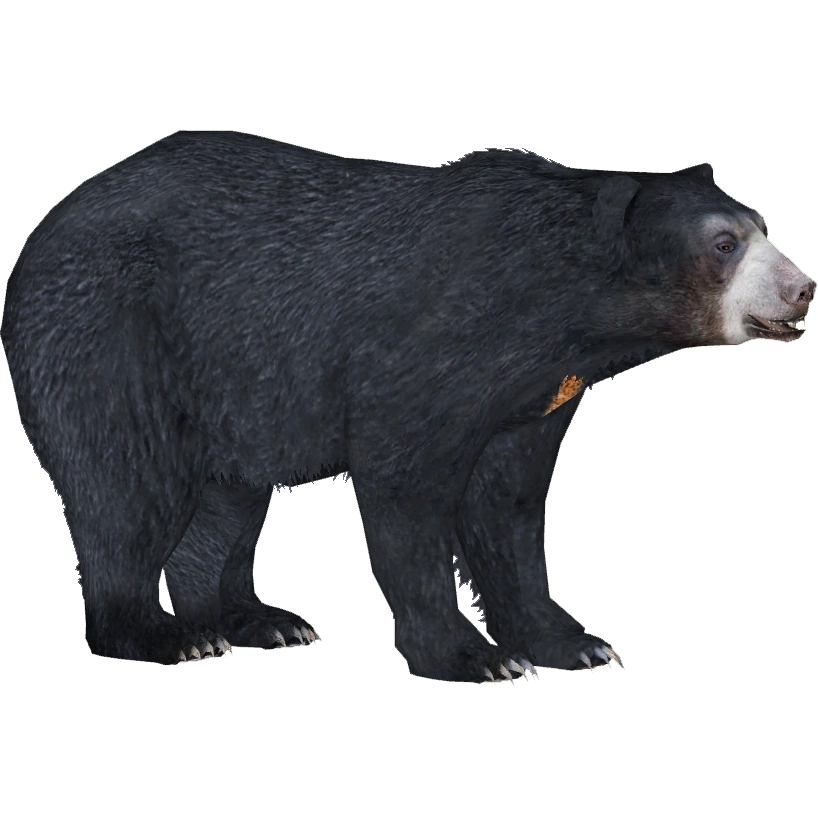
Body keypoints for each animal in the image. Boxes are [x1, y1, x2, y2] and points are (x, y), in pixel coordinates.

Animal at [1, 130, 813, 683]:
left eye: (762, 223)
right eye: (724, 243)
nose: (801, 287)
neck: (553, 301)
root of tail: (40, 231)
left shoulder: (536, 390)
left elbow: (509, 504)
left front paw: (574, 641)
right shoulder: (434, 342)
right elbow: (407, 483)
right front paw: (473, 658)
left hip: (232, 389)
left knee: (227, 497)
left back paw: (258, 622)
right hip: (112, 337)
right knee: (126, 484)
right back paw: (160, 635)